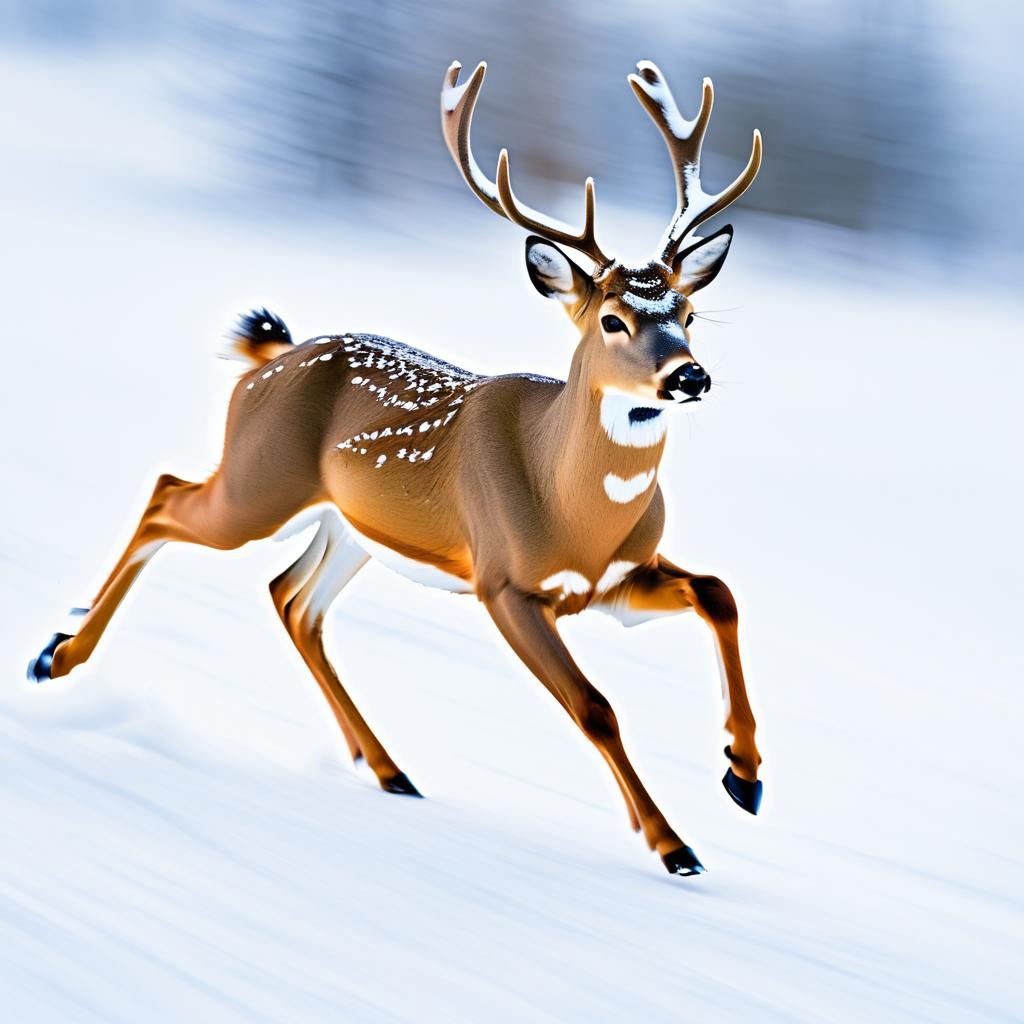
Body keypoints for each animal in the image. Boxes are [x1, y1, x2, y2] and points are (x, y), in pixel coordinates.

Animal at [29, 61, 761, 880]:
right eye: (613, 319)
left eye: (688, 314)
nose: (689, 376)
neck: (572, 503)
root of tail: (268, 359)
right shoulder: (503, 581)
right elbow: (594, 706)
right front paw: (673, 845)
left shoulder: (613, 584)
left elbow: (719, 592)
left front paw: (743, 775)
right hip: (259, 484)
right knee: (168, 498)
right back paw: (56, 655)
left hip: (349, 527)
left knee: (291, 597)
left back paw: (388, 769)